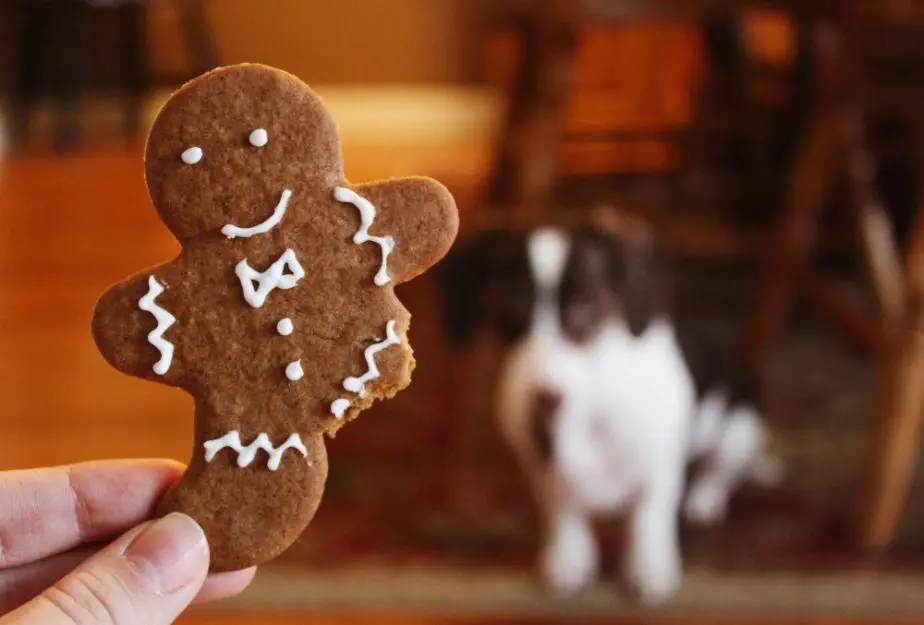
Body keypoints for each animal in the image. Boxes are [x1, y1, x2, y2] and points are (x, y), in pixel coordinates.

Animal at [440, 210, 780, 604]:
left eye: (586, 304)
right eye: (509, 304)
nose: (543, 398)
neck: (590, 409)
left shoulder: (658, 470)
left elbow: (648, 519)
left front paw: (648, 568)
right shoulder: (544, 471)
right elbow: (564, 513)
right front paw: (569, 558)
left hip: (739, 426)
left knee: (722, 470)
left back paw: (704, 500)